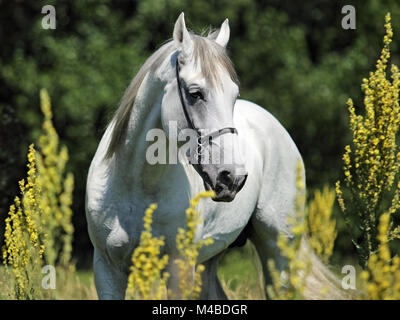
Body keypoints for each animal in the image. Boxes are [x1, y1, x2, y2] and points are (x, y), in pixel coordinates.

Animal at [86, 13, 342, 300]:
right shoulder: (107, 269)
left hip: (278, 252)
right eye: (195, 94)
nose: (233, 178)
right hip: (210, 259)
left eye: (234, 95)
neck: (137, 184)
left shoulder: (179, 268)